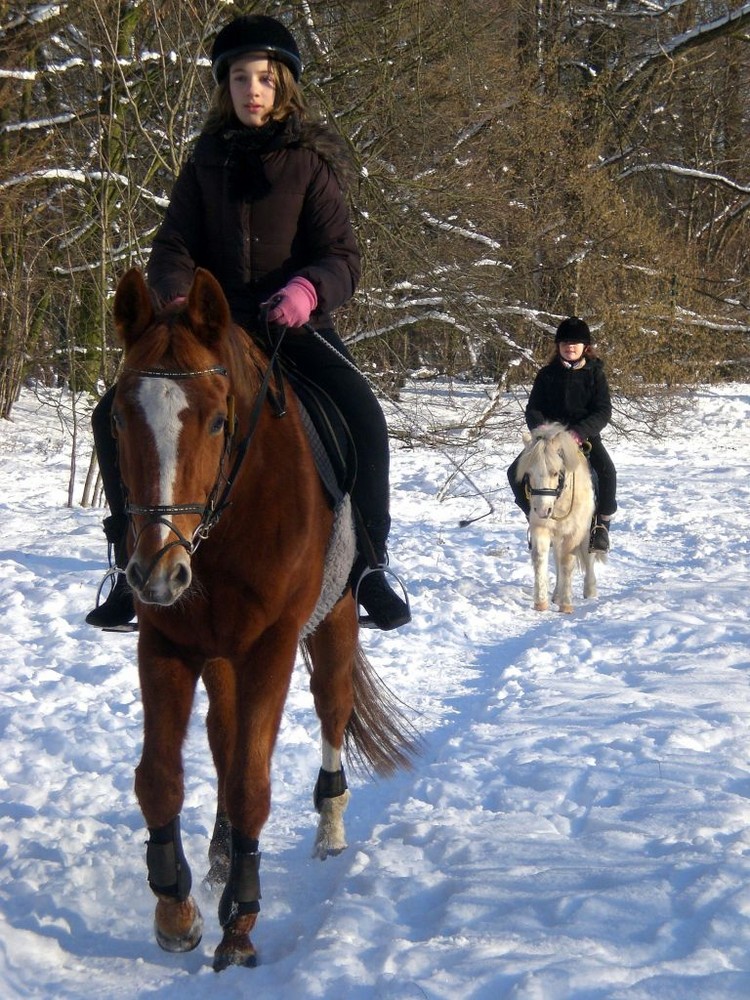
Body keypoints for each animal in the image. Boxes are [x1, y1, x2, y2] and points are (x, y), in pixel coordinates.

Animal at [111, 270, 418, 972]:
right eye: (118, 417)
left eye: (219, 420)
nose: (157, 574)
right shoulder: (166, 643)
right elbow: (161, 777)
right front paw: (177, 910)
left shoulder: (271, 647)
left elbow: (252, 783)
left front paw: (240, 927)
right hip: (221, 654)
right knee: (224, 739)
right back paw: (221, 856)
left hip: (333, 622)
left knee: (331, 708)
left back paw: (328, 829)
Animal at [516, 420, 604, 608]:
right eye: (529, 474)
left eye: (556, 472)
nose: (543, 511)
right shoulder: (541, 528)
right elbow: (541, 558)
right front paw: (541, 602)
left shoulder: (575, 532)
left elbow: (567, 562)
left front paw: (566, 604)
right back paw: (556, 595)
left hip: (588, 531)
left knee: (589, 556)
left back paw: (590, 592)